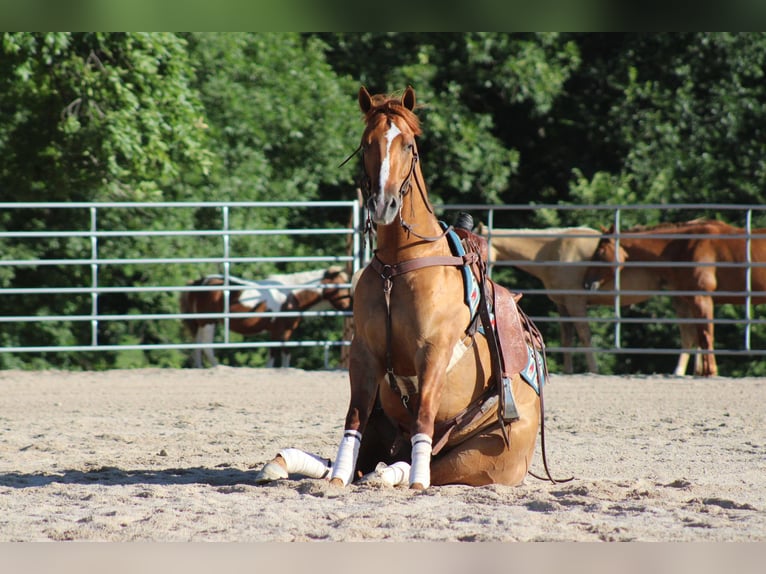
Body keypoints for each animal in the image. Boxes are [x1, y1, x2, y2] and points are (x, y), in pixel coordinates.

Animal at [180, 266, 352, 368]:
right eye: (341, 286)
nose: (351, 306)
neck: (291, 295)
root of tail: (201, 281)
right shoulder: (278, 331)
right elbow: (276, 353)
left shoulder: (285, 332)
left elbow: (283, 352)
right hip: (208, 322)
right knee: (206, 346)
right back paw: (218, 367)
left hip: (200, 324)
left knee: (197, 346)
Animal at [258, 85, 560, 490]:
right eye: (367, 143)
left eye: (408, 145)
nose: (383, 204)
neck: (398, 267)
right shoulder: (363, 352)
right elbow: (353, 418)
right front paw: (336, 478)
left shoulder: (432, 353)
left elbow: (424, 416)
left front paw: (415, 480)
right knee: (367, 456)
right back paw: (288, 463)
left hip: (480, 459)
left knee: (428, 463)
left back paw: (396, 474)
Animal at [480, 225, 704, 378]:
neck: (554, 251)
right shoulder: (563, 305)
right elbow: (567, 338)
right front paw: (568, 370)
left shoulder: (575, 302)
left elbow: (584, 335)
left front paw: (593, 369)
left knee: (690, 333)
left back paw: (680, 371)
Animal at [584, 219, 764, 378]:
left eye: (599, 253)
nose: (586, 283)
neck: (686, 246)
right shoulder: (692, 301)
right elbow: (698, 336)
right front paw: (703, 372)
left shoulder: (702, 299)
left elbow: (706, 336)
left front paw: (710, 372)